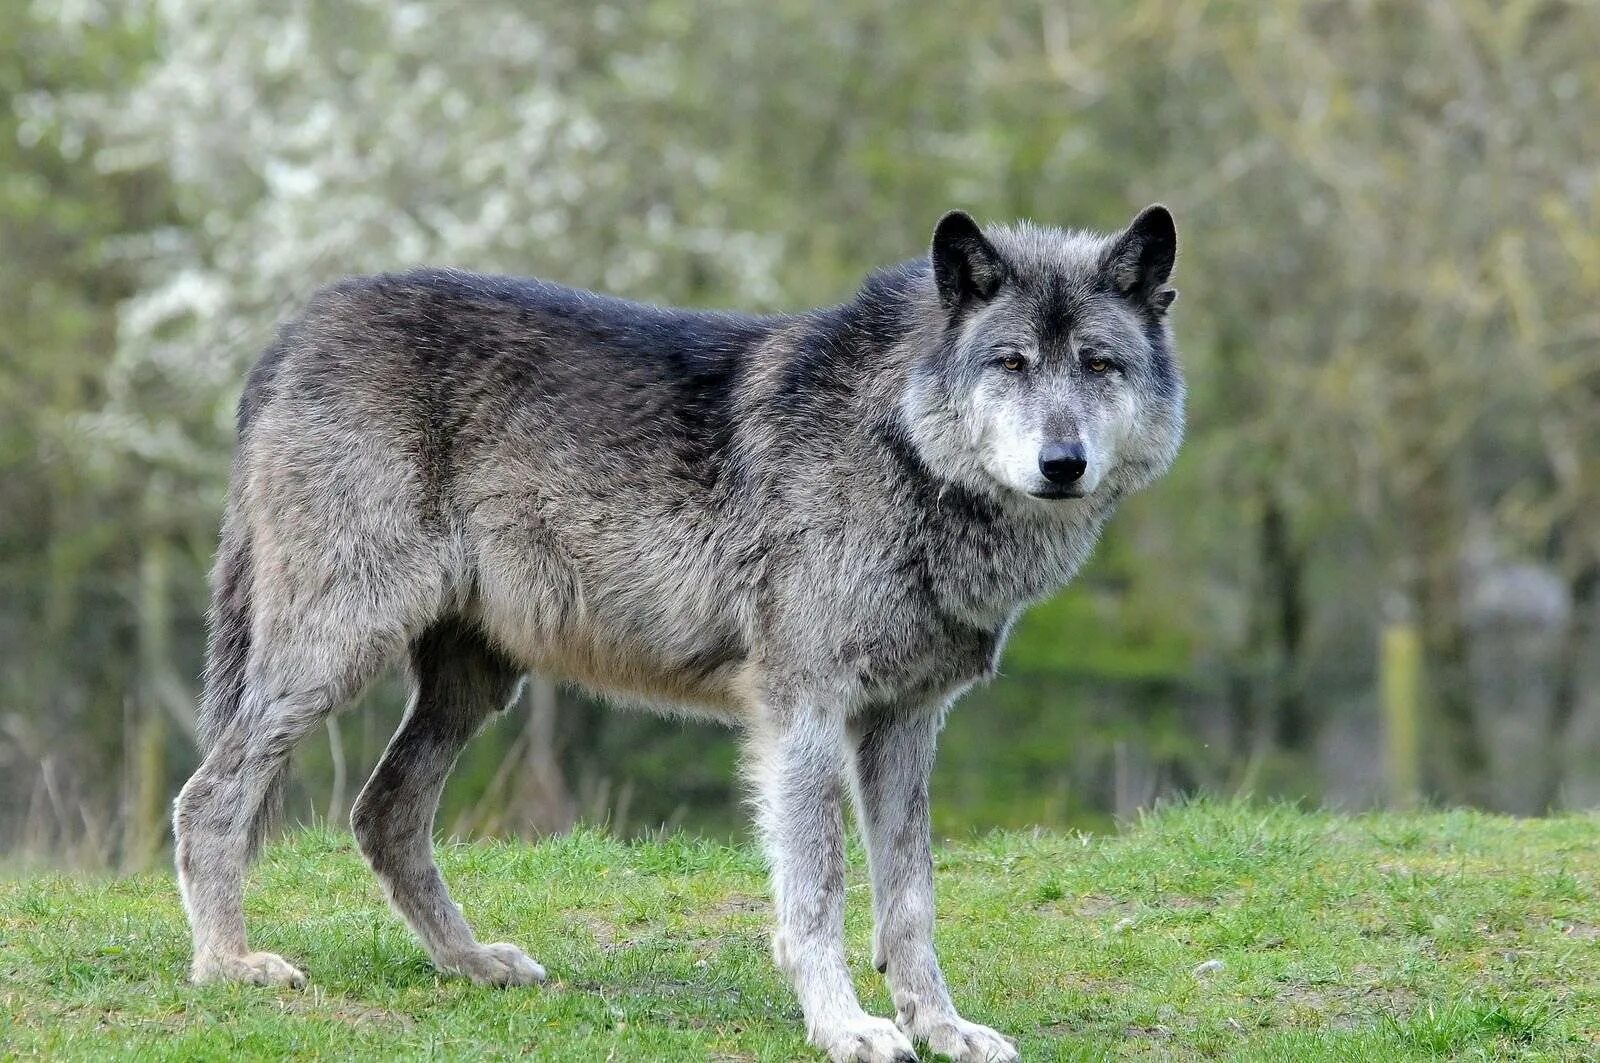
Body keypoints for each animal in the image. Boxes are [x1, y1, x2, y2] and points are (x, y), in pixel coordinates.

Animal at [175, 203, 1184, 1056]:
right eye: (1011, 363)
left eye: (1098, 365)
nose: (1063, 461)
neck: (899, 445)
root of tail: (296, 328)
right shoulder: (802, 710)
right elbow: (818, 890)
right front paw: (844, 1025)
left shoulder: (904, 721)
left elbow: (911, 900)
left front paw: (942, 1027)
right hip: (337, 653)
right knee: (210, 797)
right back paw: (228, 963)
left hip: (473, 684)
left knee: (383, 812)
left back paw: (470, 962)